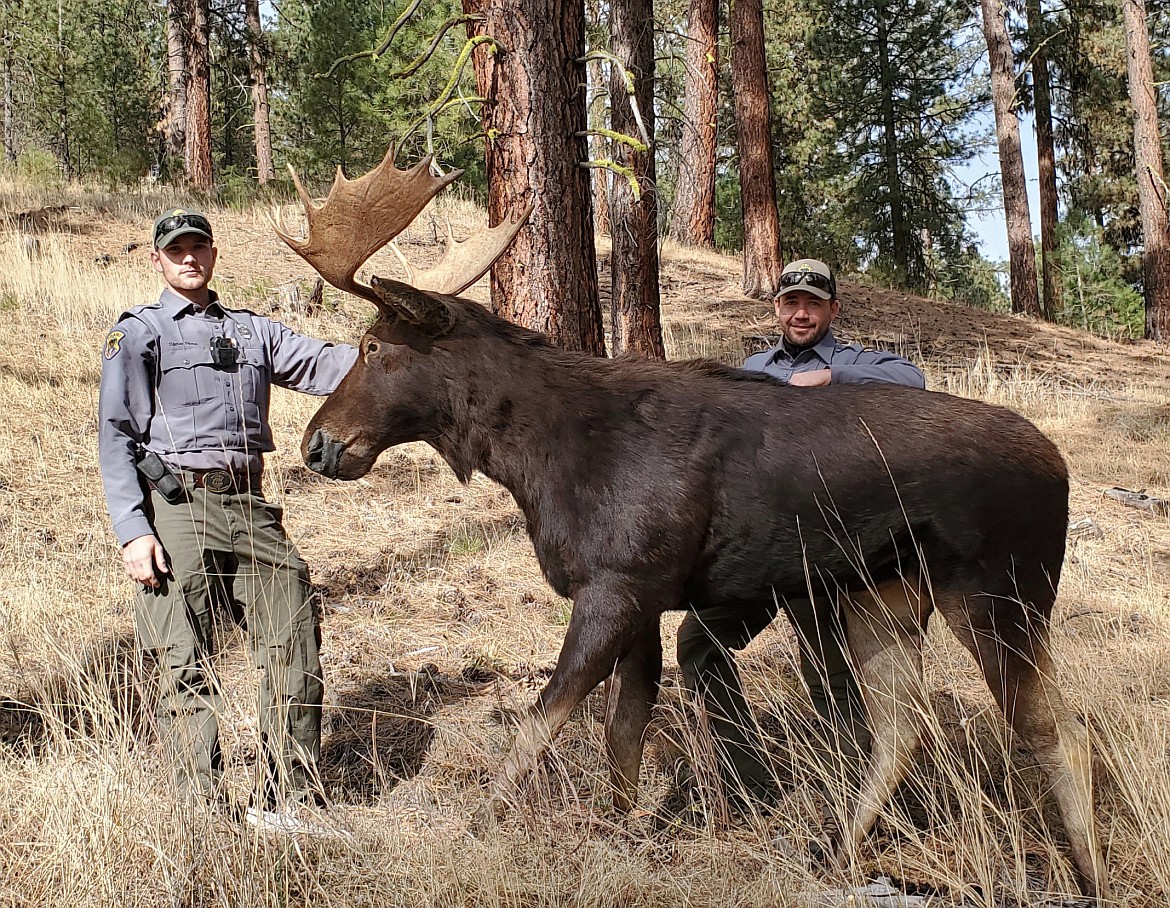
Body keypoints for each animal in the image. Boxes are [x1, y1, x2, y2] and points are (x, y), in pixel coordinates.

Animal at [273, 150, 1104, 898]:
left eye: (374, 346)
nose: (318, 443)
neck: (536, 457)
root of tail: (1060, 464)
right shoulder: (642, 594)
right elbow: (624, 729)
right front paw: (616, 829)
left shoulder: (617, 585)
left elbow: (544, 717)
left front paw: (480, 826)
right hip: (884, 599)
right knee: (903, 729)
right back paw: (836, 852)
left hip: (1004, 593)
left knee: (1054, 730)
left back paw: (1088, 873)